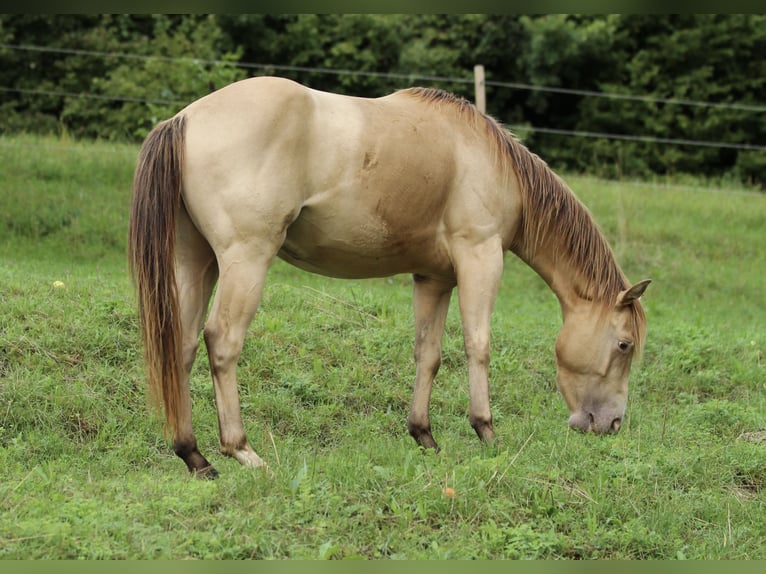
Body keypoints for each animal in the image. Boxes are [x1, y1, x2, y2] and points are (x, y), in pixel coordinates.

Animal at [128, 76, 650, 478]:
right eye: (624, 344)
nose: (611, 425)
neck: (486, 158)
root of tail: (184, 120)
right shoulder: (480, 258)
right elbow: (478, 345)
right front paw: (486, 432)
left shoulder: (434, 278)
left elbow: (429, 354)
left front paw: (425, 437)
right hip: (245, 260)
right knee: (222, 341)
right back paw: (242, 451)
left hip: (198, 263)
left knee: (183, 345)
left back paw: (194, 457)